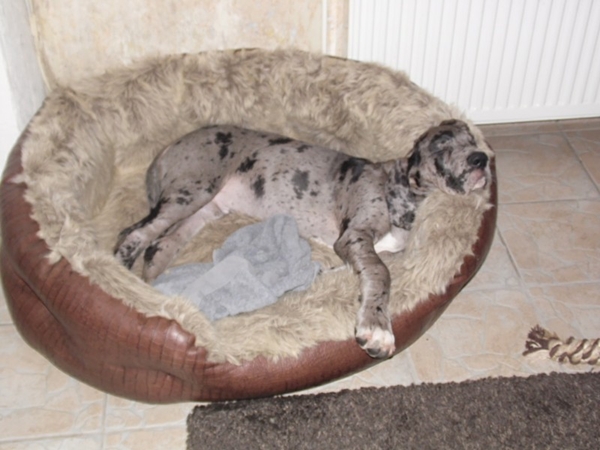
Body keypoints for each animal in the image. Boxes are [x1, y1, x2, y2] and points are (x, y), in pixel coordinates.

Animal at [114, 119, 490, 359]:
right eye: (442, 145)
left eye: (473, 139)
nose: (481, 158)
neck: (400, 189)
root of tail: (167, 149)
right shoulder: (354, 236)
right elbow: (380, 273)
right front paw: (377, 325)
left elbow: (362, 267)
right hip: (190, 192)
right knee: (132, 234)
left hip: (204, 209)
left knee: (158, 246)